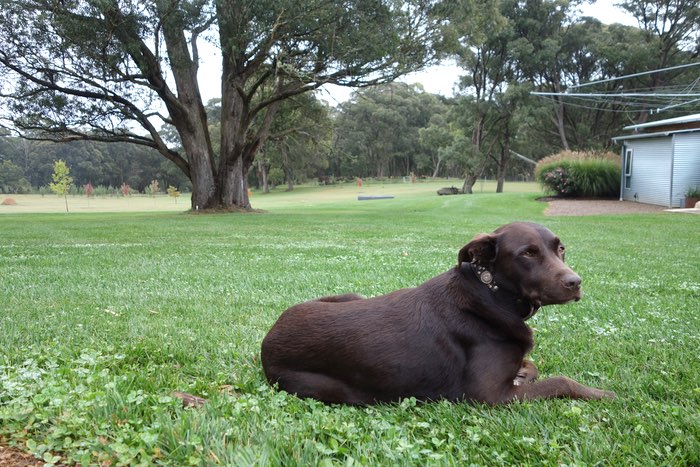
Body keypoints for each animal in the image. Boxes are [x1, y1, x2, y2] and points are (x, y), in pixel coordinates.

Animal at [260, 223, 616, 406]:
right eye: (527, 253)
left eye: (560, 248)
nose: (575, 282)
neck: (491, 294)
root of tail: (269, 337)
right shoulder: (489, 396)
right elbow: (560, 380)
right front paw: (602, 393)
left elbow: (533, 366)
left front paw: (522, 371)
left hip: (349, 296)